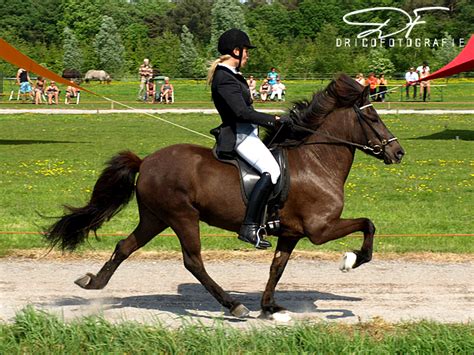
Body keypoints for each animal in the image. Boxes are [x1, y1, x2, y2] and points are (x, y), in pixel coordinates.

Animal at [46, 75, 406, 320]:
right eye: (373, 118)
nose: (398, 152)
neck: (317, 161)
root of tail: (146, 161)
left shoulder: (291, 233)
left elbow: (277, 267)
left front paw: (270, 307)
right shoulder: (320, 228)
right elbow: (368, 225)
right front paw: (351, 260)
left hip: (155, 218)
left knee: (125, 246)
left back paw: (93, 283)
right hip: (182, 217)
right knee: (193, 261)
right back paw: (233, 305)